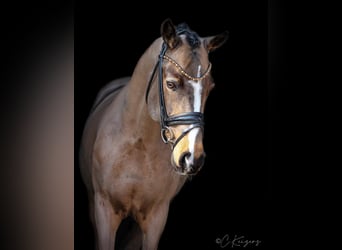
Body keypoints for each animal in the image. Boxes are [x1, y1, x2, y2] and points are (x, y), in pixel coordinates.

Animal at [79, 18, 228, 249]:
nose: (192, 158)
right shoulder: (104, 210)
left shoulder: (156, 217)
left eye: (210, 87)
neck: (139, 144)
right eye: (171, 84)